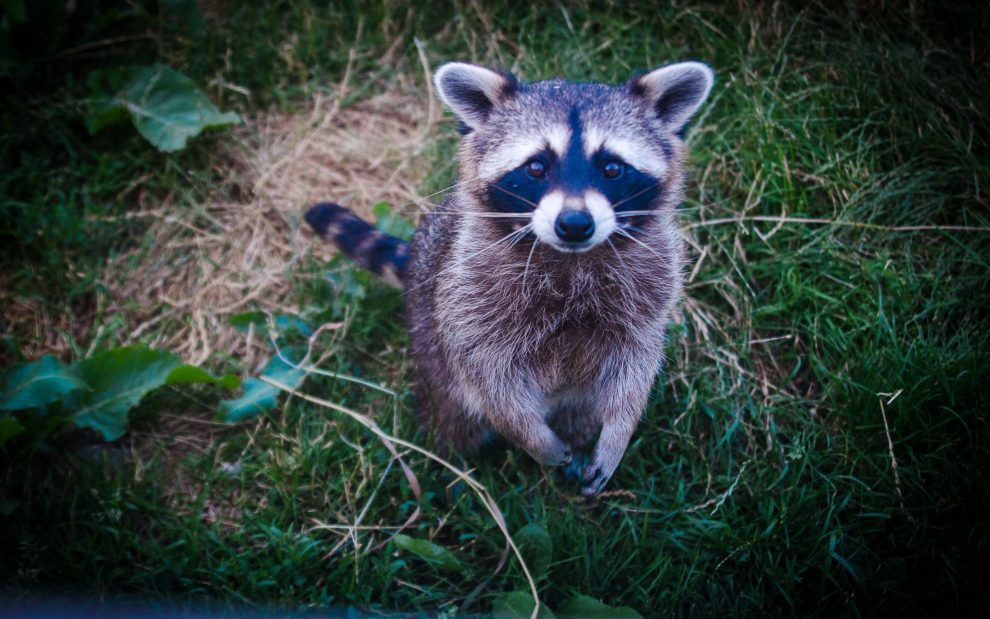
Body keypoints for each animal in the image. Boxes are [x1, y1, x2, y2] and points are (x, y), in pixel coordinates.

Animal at [306, 61, 713, 496]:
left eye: (612, 167)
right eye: (536, 167)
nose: (574, 224)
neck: (570, 258)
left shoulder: (651, 286)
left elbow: (636, 365)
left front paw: (618, 432)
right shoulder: (469, 295)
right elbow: (487, 378)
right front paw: (532, 437)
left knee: (582, 409)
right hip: (428, 338)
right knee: (452, 415)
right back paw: (450, 464)